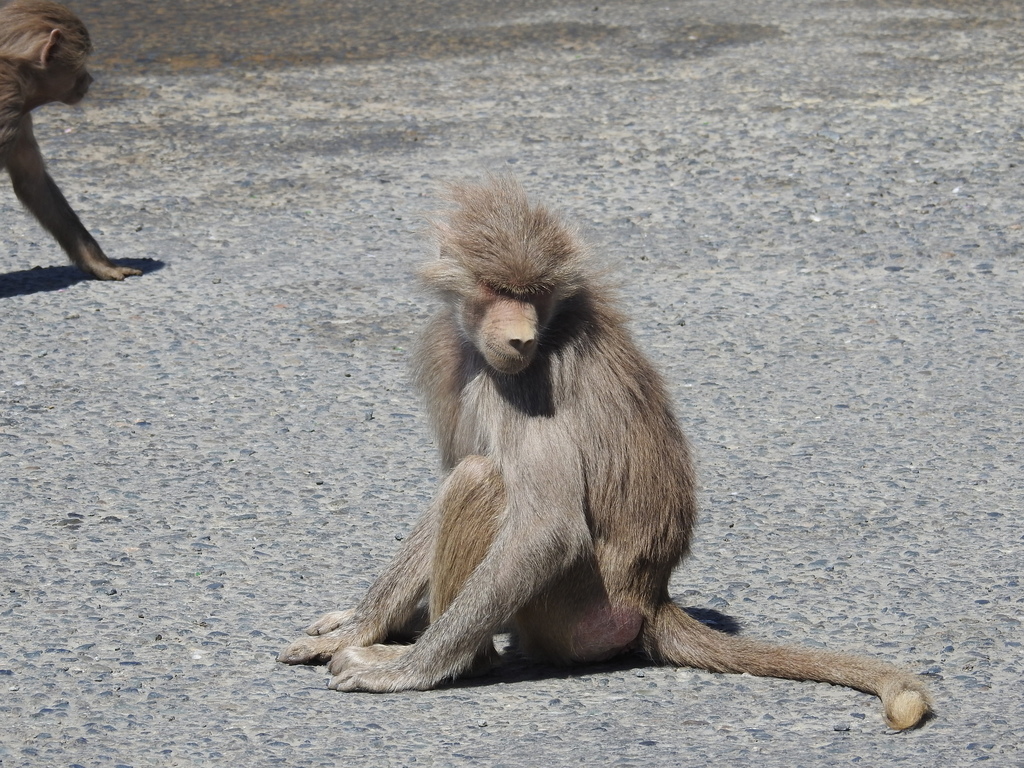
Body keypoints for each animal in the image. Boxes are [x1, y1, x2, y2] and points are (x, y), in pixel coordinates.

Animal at [0, 0, 140, 280]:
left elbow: (33, 183)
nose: (90, 78)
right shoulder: (9, 99)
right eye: (83, 60)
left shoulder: (19, 113)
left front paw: (99, 263)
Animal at [279, 175, 931, 731]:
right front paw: (355, 629)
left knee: (482, 479)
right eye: (499, 290)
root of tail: (649, 596)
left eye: (535, 294)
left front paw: (399, 670)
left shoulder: (521, 384)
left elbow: (547, 526)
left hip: (571, 610)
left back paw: (460, 659)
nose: (518, 338)